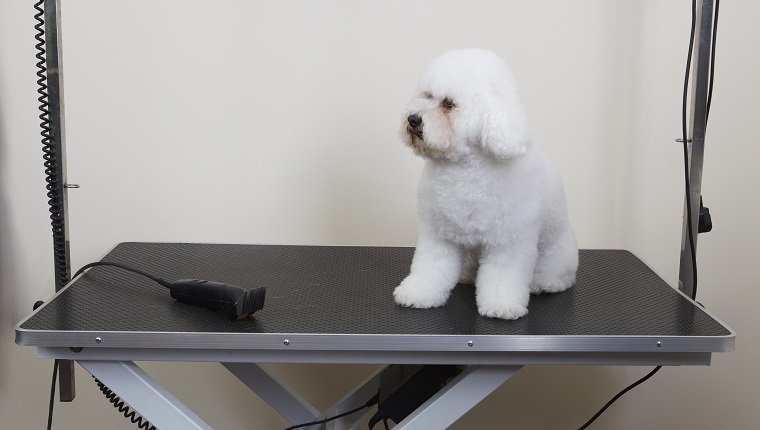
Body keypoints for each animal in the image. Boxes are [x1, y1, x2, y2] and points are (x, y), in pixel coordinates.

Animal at [394, 49, 580, 320]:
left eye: (448, 103)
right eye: (427, 95)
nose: (413, 119)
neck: (465, 168)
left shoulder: (509, 241)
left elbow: (502, 277)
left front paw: (501, 305)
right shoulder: (439, 233)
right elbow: (430, 267)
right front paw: (419, 292)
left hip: (556, 252)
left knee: (557, 275)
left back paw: (543, 282)